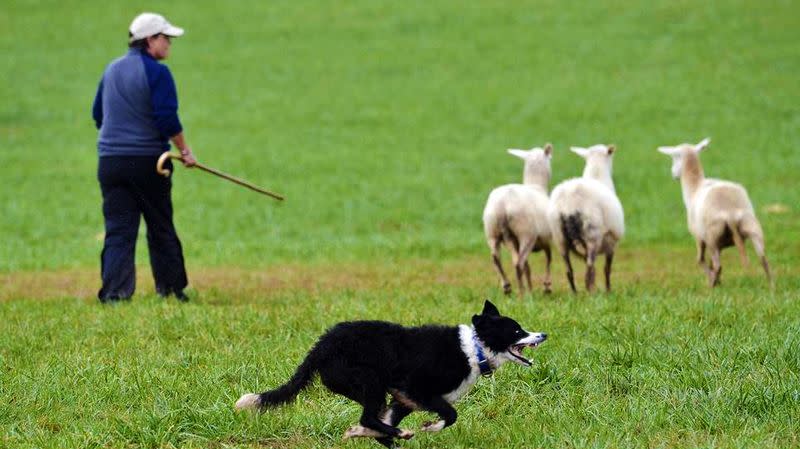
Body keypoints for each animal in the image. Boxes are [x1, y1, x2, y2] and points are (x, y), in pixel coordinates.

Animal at [482, 144, 553, 296]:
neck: (537, 186)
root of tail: (503, 205)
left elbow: (530, 266)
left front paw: (534, 287)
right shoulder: (546, 239)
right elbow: (548, 259)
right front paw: (546, 287)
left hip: (493, 232)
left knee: (496, 258)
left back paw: (508, 287)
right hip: (526, 233)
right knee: (519, 262)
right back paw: (522, 292)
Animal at [546, 144, 624, 293]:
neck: (597, 176)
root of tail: (569, 201)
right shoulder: (612, 242)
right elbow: (607, 269)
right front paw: (608, 290)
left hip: (560, 238)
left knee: (569, 271)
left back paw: (575, 293)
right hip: (592, 235)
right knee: (589, 271)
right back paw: (591, 293)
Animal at [657, 138, 772, 287]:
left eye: (674, 157)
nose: (674, 175)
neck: (694, 186)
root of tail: (730, 213)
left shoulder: (699, 237)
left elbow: (700, 260)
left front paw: (713, 280)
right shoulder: (719, 245)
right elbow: (710, 262)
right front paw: (718, 281)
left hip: (711, 235)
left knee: (717, 265)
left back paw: (711, 285)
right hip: (752, 228)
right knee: (764, 261)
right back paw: (772, 288)